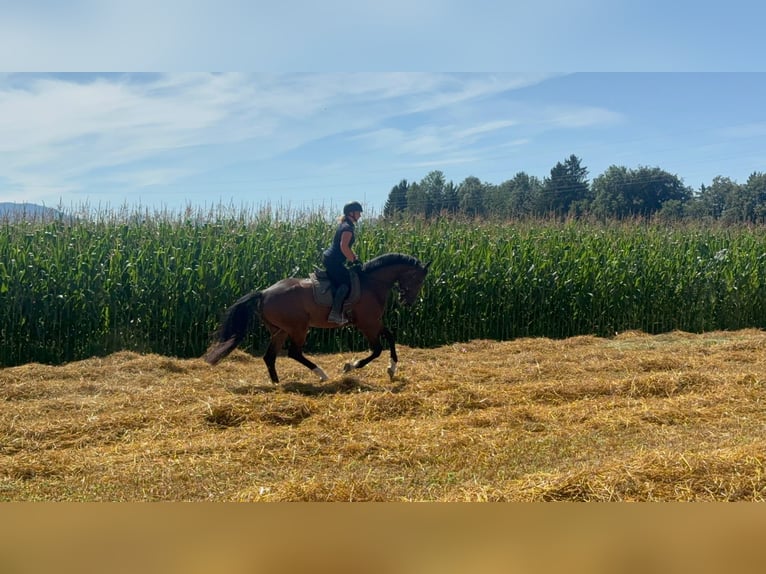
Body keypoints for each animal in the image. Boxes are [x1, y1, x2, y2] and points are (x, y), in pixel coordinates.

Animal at [203, 253, 430, 383]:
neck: (371, 283)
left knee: (270, 357)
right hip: (298, 328)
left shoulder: (374, 323)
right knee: (294, 353)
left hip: (280, 331)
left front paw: (392, 369)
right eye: (419, 279)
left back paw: (277, 383)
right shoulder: (368, 324)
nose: (407, 302)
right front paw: (351, 366)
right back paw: (321, 374)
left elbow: (390, 338)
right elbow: (377, 350)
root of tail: (264, 292)